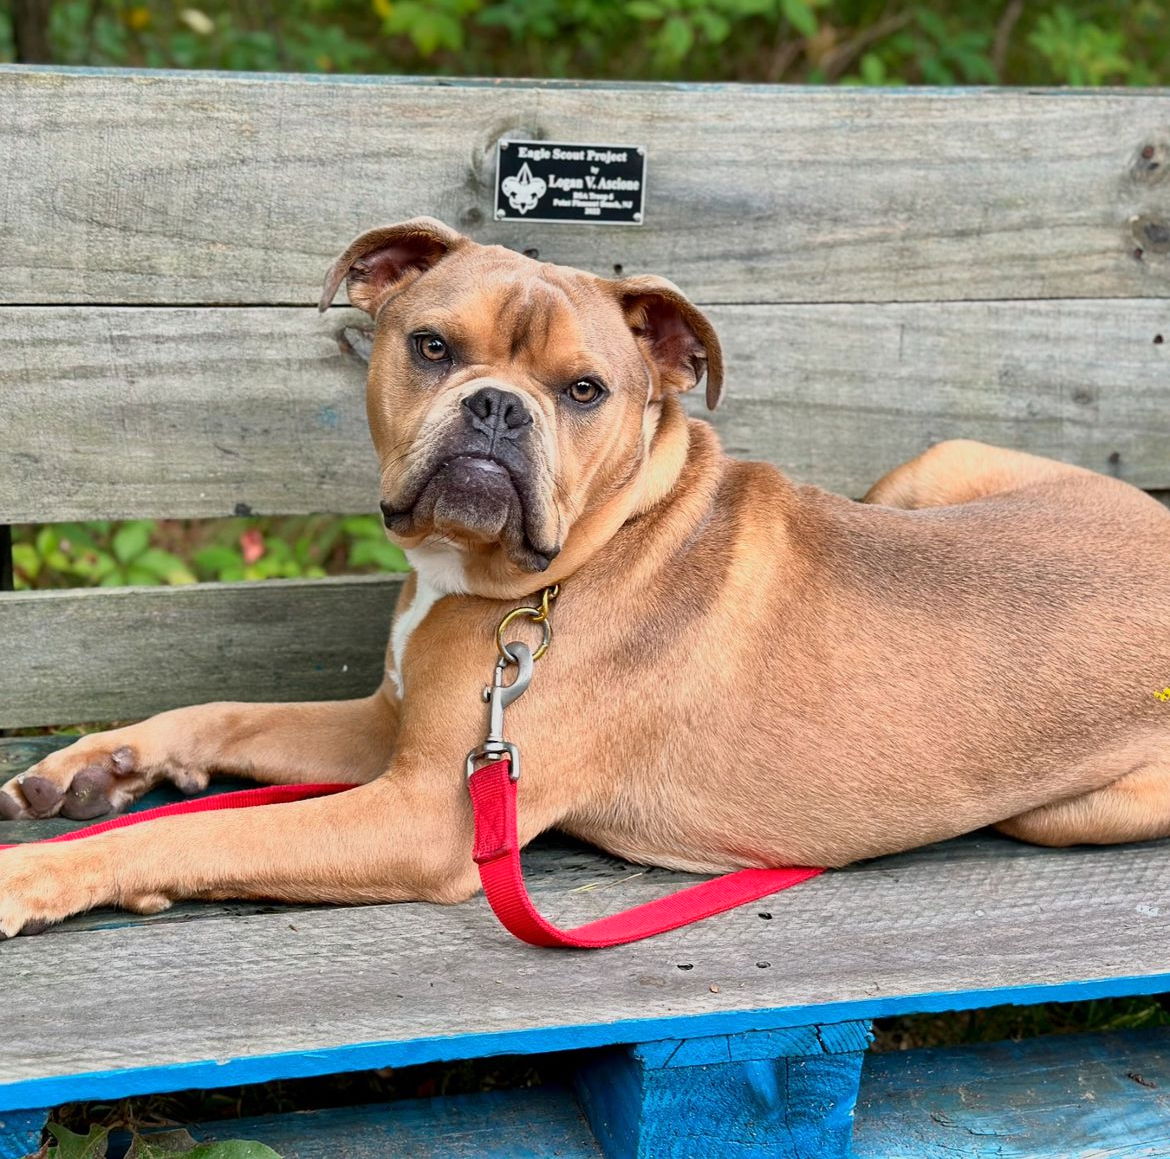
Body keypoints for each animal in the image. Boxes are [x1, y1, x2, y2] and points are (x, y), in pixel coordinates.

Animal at [2, 219, 1170, 944]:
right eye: (431, 346)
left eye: (584, 390)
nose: (495, 408)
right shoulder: (391, 730)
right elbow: (228, 715)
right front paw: (103, 767)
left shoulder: (423, 813)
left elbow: (211, 830)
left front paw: (38, 875)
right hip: (934, 466)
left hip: (1070, 810)